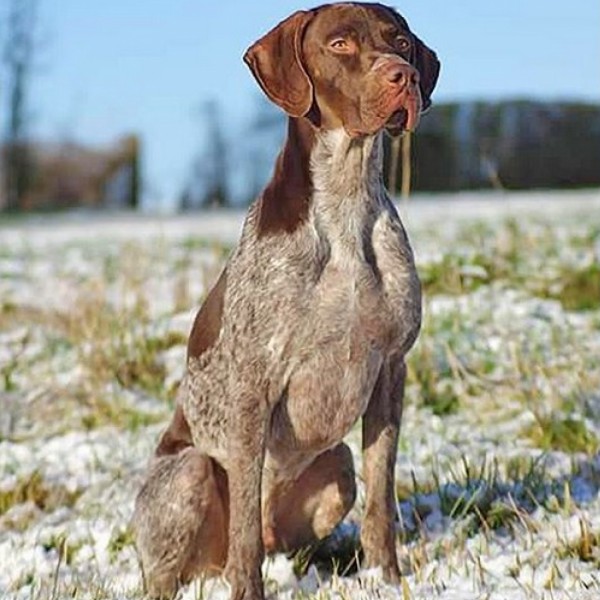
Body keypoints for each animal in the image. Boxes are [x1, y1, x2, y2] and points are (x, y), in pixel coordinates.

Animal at [132, 2, 440, 596]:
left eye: (400, 42)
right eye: (340, 44)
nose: (404, 76)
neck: (345, 204)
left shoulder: (391, 368)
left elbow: (381, 501)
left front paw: (386, 579)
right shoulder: (254, 385)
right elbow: (245, 538)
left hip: (337, 464)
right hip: (188, 475)